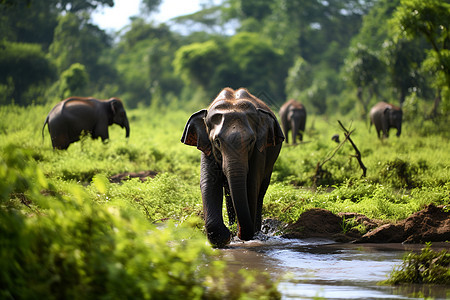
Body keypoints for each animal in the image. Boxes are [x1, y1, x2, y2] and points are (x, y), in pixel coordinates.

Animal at [180, 86, 284, 246]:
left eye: (251, 141)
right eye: (217, 141)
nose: (238, 234)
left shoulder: (259, 151)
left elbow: (252, 184)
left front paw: (244, 236)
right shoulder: (207, 147)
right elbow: (208, 182)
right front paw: (224, 238)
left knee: (260, 190)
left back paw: (256, 231)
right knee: (229, 193)